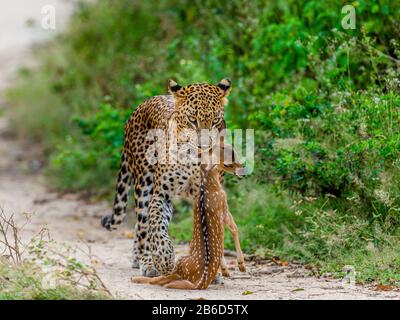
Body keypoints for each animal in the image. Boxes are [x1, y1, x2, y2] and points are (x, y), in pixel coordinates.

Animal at [101, 79, 231, 276]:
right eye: (192, 120)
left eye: (215, 120)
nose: (204, 146)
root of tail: (139, 107)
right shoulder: (162, 194)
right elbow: (155, 225)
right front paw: (164, 258)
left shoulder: (209, 195)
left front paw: (212, 270)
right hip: (144, 183)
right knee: (143, 225)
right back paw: (147, 263)